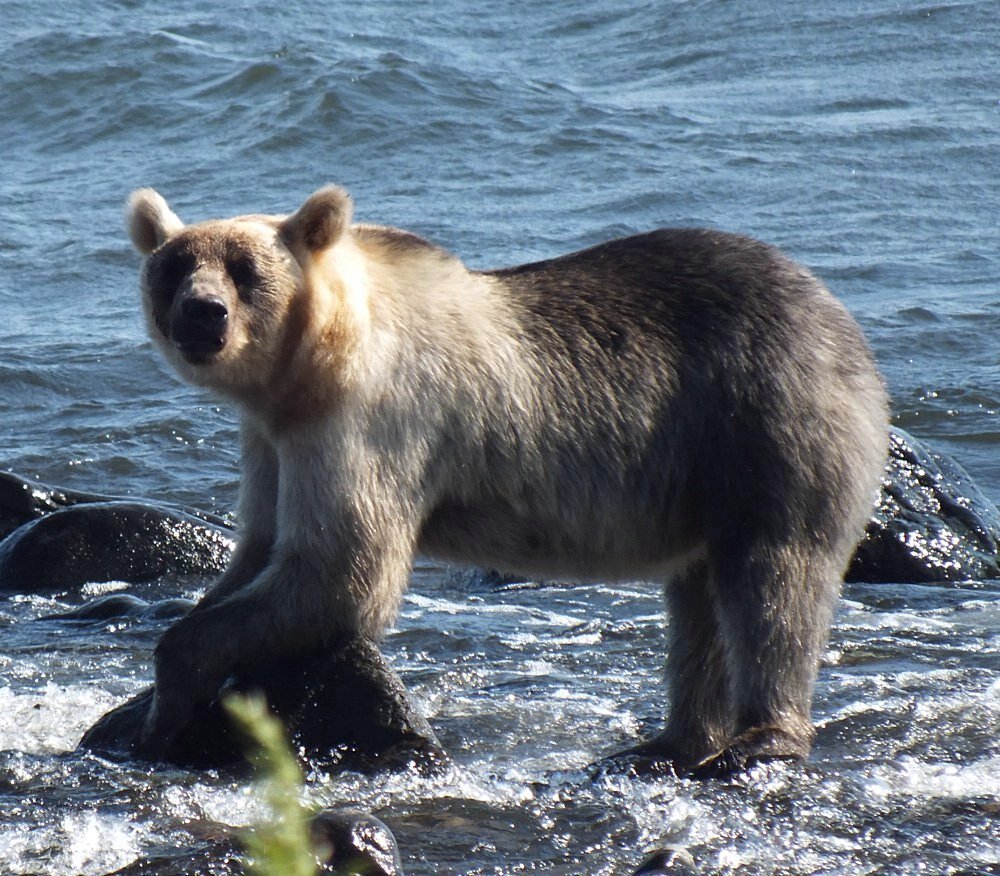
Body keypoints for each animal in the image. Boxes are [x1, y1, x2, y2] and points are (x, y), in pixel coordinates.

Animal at [127, 188, 892, 776]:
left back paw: (764, 736)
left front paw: (170, 691)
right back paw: (668, 742)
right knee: (700, 603)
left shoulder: (370, 420)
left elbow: (342, 570)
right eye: (174, 267)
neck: (311, 367)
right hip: (706, 469)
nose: (202, 312)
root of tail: (840, 317)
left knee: (774, 579)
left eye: (244, 268)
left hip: (763, 420)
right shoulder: (271, 442)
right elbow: (261, 546)